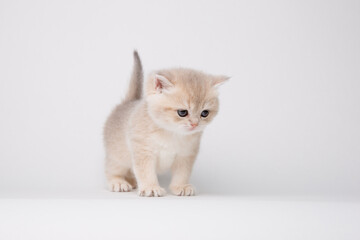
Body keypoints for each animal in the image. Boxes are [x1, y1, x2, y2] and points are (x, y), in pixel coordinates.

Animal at [103, 51, 228, 197]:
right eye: (182, 112)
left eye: (205, 113)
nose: (195, 124)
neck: (171, 133)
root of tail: (130, 101)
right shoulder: (143, 152)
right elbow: (145, 172)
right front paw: (151, 187)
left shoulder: (186, 155)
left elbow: (182, 173)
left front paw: (180, 186)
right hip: (117, 156)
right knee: (111, 169)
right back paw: (118, 182)